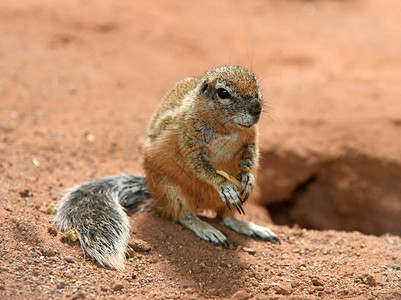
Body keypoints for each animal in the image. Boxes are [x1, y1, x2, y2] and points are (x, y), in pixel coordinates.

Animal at [54, 65, 280, 270]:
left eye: (256, 84)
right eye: (223, 93)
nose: (257, 109)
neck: (226, 130)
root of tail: (153, 192)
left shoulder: (250, 141)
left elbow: (249, 158)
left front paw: (248, 179)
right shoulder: (188, 143)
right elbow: (201, 167)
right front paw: (224, 185)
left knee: (226, 218)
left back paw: (251, 227)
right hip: (173, 194)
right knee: (183, 216)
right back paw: (207, 229)